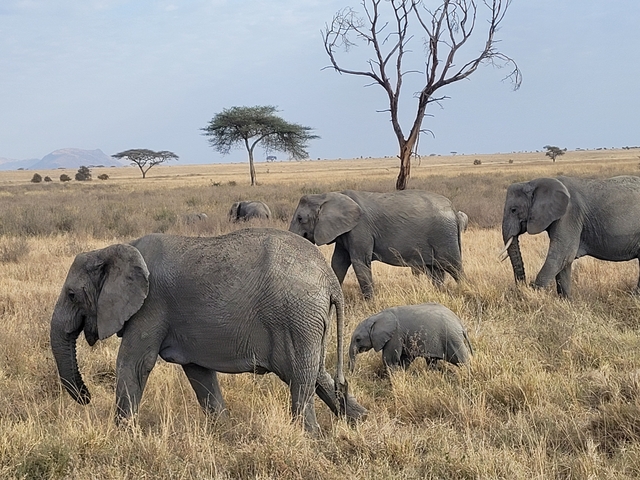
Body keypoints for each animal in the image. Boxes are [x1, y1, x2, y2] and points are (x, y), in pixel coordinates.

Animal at [50, 228, 367, 434]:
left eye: (72, 295)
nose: (87, 398)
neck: (117, 248)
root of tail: (329, 279)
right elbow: (199, 373)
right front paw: (225, 433)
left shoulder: (151, 307)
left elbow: (133, 363)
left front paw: (122, 436)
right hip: (307, 320)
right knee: (316, 374)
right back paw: (359, 421)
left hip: (296, 315)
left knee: (301, 377)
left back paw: (309, 436)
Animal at [289, 190, 463, 299]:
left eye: (300, 219)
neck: (327, 195)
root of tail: (453, 209)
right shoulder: (345, 232)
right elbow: (338, 262)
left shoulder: (360, 229)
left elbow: (359, 262)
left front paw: (370, 303)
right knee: (436, 271)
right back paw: (439, 293)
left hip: (444, 235)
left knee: (453, 267)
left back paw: (464, 288)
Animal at [501, 175, 640, 297]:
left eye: (513, 210)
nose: (523, 287)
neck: (532, 183)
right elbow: (564, 262)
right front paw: (566, 302)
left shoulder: (569, 214)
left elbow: (561, 256)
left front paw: (531, 296)